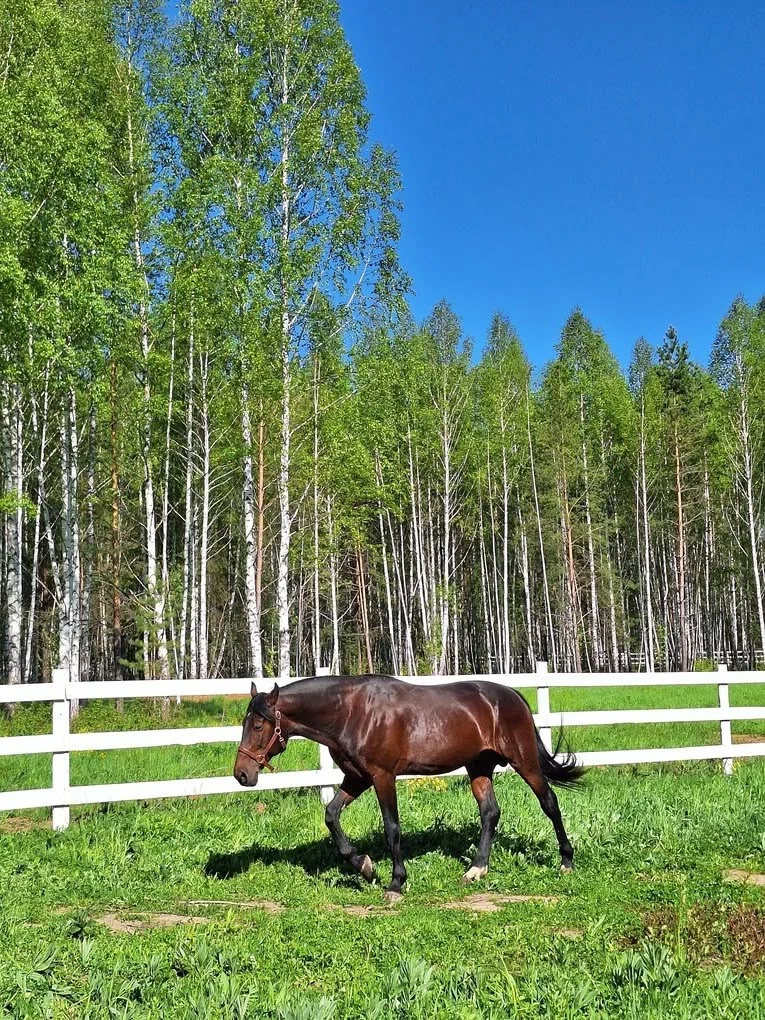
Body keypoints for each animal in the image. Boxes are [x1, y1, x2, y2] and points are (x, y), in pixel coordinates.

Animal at [233, 673, 584, 902]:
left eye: (259, 725)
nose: (241, 774)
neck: (352, 712)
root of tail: (513, 695)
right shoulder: (357, 778)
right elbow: (331, 816)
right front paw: (365, 867)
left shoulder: (382, 776)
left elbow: (392, 828)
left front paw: (395, 884)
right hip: (479, 767)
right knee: (490, 813)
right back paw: (476, 870)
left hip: (524, 761)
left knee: (549, 803)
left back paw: (566, 862)